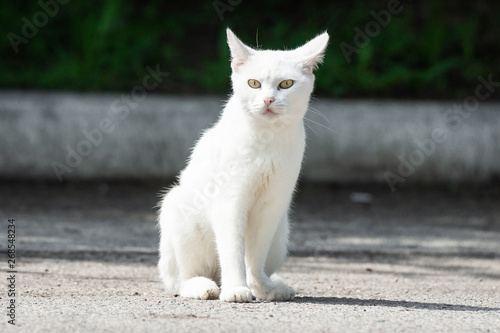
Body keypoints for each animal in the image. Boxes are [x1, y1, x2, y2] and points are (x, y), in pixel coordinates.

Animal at [157, 29, 328, 302]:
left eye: (286, 84)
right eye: (254, 83)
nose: (268, 100)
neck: (267, 139)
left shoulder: (271, 206)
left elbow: (254, 257)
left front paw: (260, 286)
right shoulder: (230, 202)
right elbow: (232, 250)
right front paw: (236, 288)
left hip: (281, 231)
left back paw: (274, 286)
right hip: (177, 210)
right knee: (181, 280)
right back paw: (204, 287)